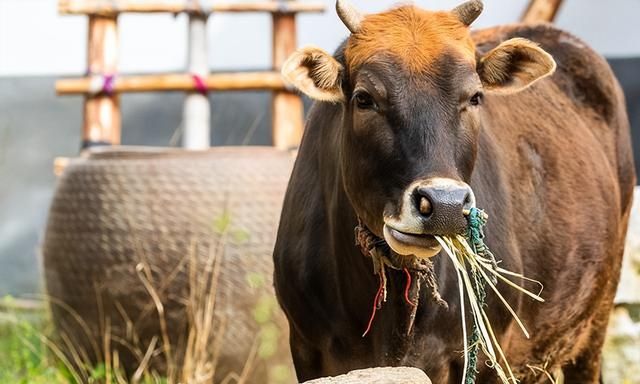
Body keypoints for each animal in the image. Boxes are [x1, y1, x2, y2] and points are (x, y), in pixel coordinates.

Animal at [270, 1, 636, 382]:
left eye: (474, 97)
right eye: (364, 98)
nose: (444, 205)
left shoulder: (489, 355)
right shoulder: (308, 350)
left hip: (596, 321)